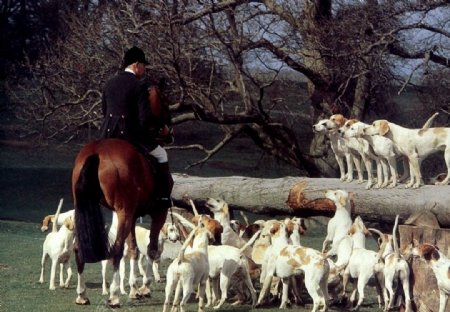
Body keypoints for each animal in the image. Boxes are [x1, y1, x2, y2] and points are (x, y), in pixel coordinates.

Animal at [73, 81, 173, 308]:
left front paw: (134, 289)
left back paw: (82, 295)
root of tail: (97, 151)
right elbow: (151, 249)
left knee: (79, 248)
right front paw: (144, 287)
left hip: (88, 209)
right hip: (124, 213)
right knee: (116, 250)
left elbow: (134, 249)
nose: (168, 131)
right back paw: (114, 296)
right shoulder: (158, 212)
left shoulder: (133, 215)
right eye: (164, 100)